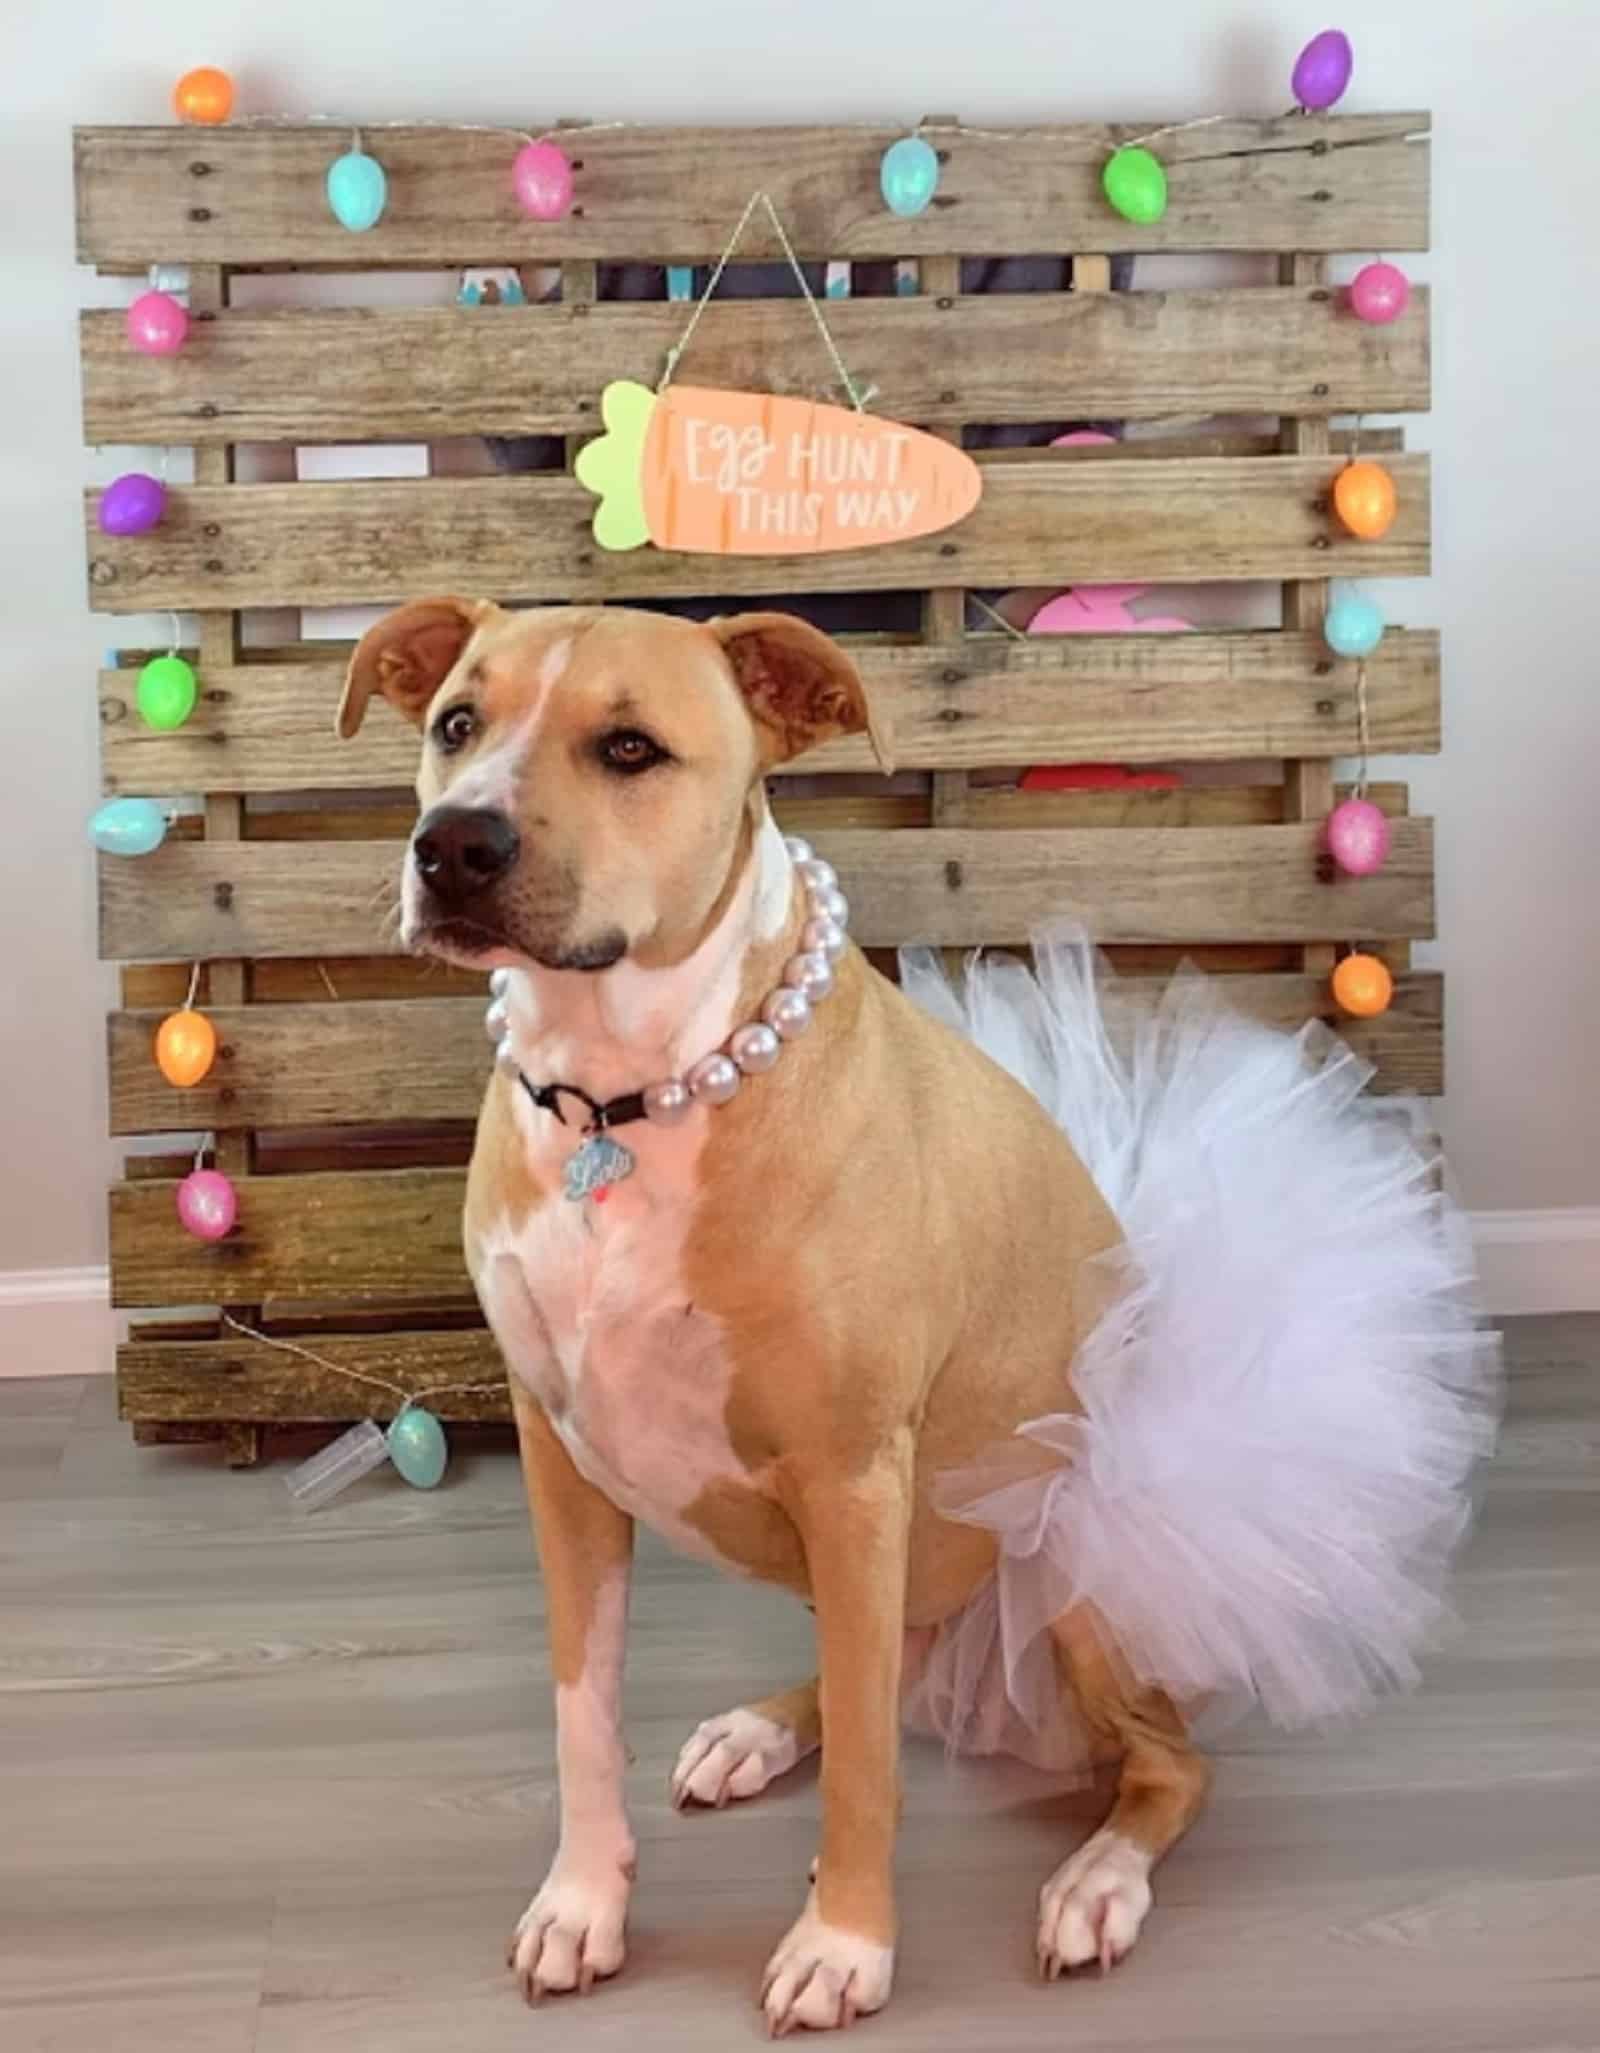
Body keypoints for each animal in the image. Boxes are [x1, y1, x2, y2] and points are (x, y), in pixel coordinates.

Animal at [338, 599, 1215, 2036]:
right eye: (456, 722)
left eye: (630, 747)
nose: (454, 842)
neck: (627, 1095)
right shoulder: (559, 1463)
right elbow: (585, 1714)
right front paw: (584, 1902)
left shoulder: (853, 1475)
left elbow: (868, 1761)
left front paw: (844, 1942)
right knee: (901, 1657)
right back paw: (759, 1729)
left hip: (1068, 1553)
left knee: (1162, 1759)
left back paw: (1098, 1881)